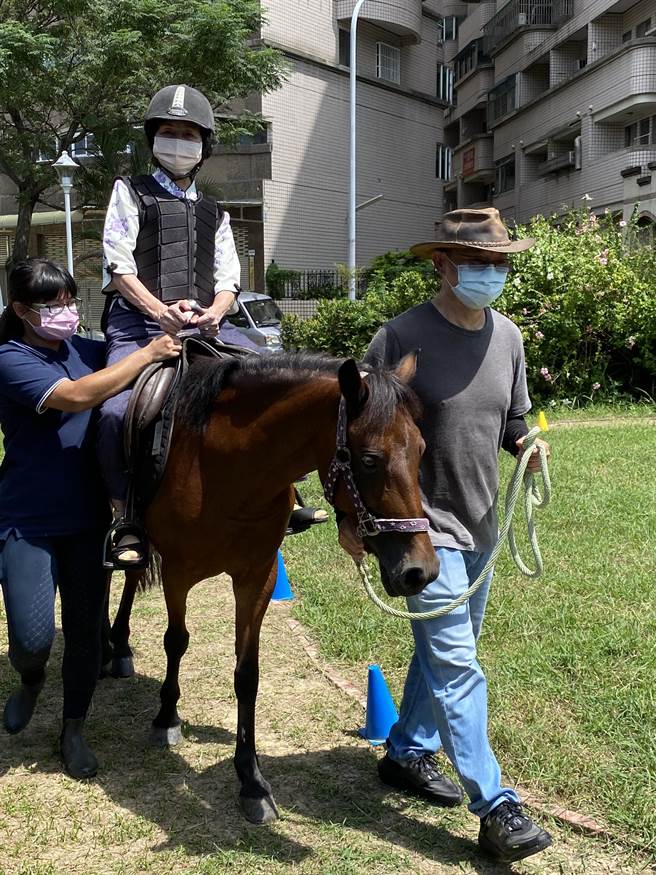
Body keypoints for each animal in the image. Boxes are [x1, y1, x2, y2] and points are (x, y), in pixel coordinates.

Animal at [104, 350, 438, 824]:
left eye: (422, 451)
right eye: (370, 459)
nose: (419, 571)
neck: (224, 470)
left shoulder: (257, 576)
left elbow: (248, 675)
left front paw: (251, 781)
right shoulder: (179, 573)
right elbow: (176, 641)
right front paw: (166, 717)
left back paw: (121, 646)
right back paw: (111, 646)